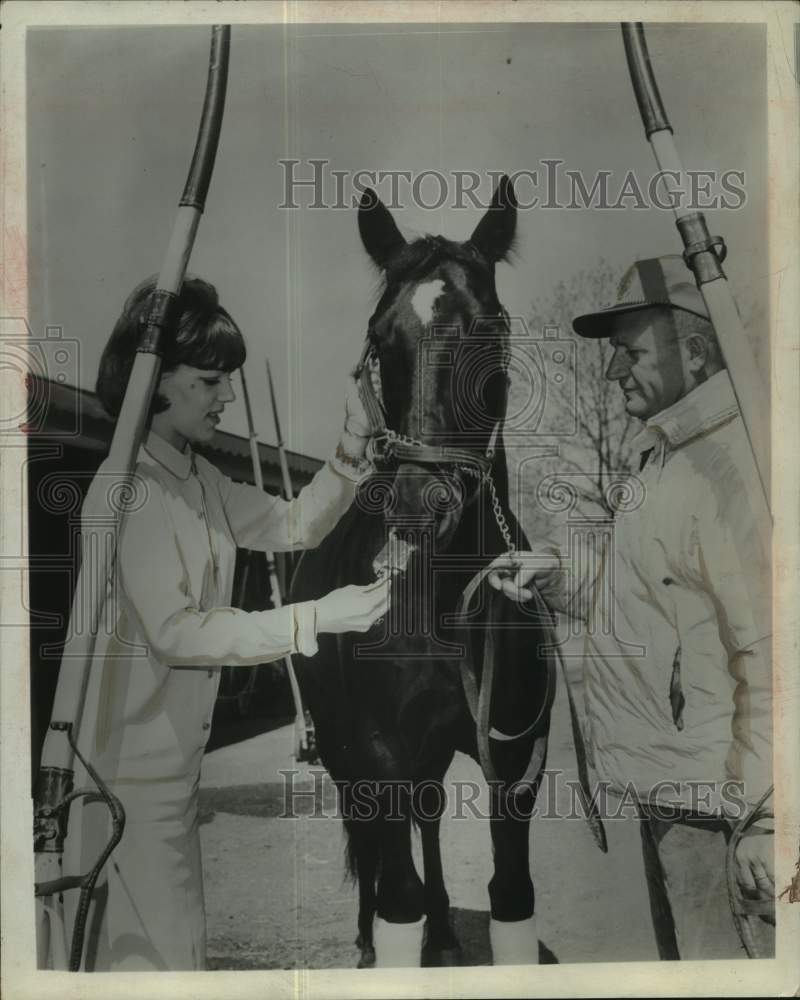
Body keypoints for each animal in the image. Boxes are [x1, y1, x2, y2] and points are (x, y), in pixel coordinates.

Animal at [292, 176, 556, 964]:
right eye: (381, 341)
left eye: (487, 329)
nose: (419, 503)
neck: (445, 601)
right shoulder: (379, 754)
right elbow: (397, 894)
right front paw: (389, 934)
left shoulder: (512, 759)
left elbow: (511, 896)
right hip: (345, 755)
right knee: (373, 840)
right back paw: (367, 940)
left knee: (430, 815)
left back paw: (443, 931)